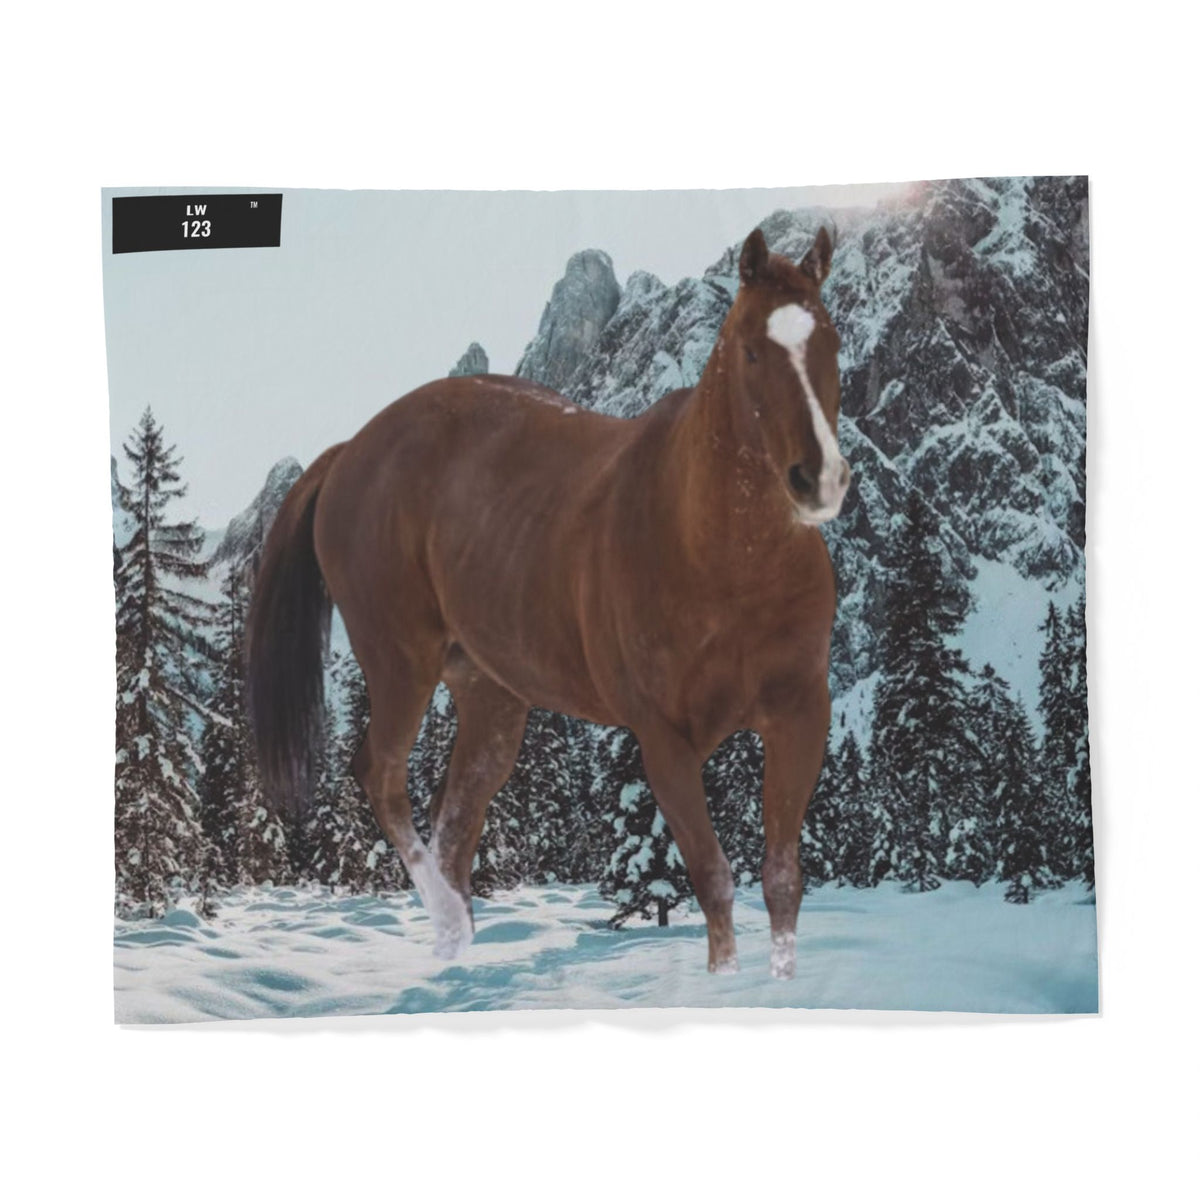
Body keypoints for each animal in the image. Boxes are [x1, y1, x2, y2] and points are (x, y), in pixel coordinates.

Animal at [246, 226, 850, 979]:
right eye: (751, 350)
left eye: (830, 340)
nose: (819, 478)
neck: (723, 562)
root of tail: (352, 448)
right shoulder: (663, 739)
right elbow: (713, 879)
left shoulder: (800, 715)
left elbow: (782, 880)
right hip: (399, 662)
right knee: (382, 779)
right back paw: (449, 925)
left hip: (490, 695)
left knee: (455, 822)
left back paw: (456, 955)